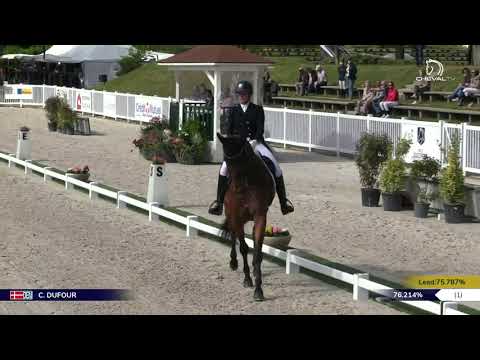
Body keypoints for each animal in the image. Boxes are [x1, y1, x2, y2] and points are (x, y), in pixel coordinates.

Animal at [217, 132, 276, 300]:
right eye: (226, 161)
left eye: (240, 159)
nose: (234, 188)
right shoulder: (236, 216)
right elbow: (243, 248)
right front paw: (247, 279)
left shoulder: (260, 216)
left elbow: (257, 253)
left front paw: (258, 289)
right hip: (232, 215)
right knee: (233, 234)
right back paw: (233, 262)